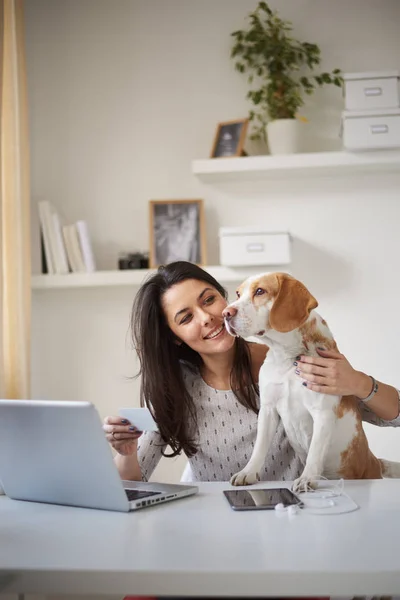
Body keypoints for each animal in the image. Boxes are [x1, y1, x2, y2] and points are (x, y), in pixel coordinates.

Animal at [222, 272, 400, 492]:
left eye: (260, 291)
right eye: (238, 293)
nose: (225, 313)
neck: (288, 359)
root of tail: (374, 460)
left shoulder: (322, 413)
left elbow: (314, 453)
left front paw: (307, 479)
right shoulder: (268, 410)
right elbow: (259, 446)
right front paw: (248, 472)